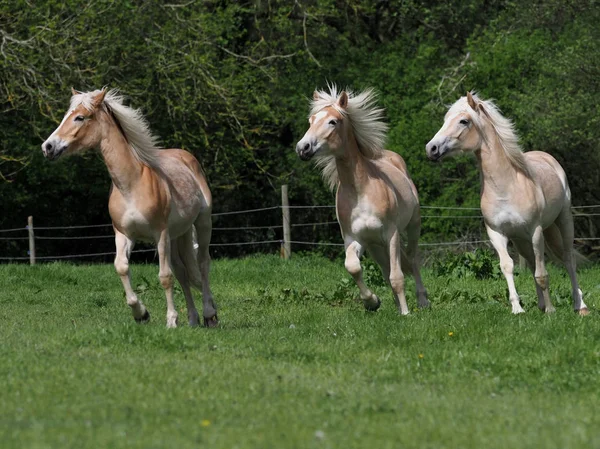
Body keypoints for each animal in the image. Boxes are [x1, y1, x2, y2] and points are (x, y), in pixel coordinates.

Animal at [41, 88, 218, 326]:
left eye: (80, 117)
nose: (48, 147)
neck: (131, 184)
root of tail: (187, 158)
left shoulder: (160, 234)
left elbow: (165, 277)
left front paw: (171, 320)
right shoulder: (124, 234)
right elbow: (122, 267)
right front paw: (141, 313)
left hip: (202, 222)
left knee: (202, 263)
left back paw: (209, 314)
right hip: (177, 234)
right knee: (182, 271)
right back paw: (192, 320)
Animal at [294, 85, 426, 316]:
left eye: (332, 121)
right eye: (311, 120)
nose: (303, 148)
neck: (361, 192)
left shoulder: (391, 235)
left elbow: (397, 276)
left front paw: (406, 313)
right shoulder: (354, 238)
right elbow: (353, 267)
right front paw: (372, 301)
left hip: (411, 227)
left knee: (412, 259)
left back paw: (421, 301)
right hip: (375, 246)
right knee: (386, 269)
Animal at [426, 91, 592, 316]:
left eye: (464, 121)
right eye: (445, 120)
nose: (431, 148)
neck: (506, 187)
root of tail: (547, 157)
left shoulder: (536, 232)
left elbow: (542, 273)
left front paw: (551, 310)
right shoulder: (497, 233)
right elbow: (508, 266)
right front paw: (517, 308)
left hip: (563, 220)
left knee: (568, 259)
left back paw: (579, 305)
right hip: (521, 239)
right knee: (531, 263)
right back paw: (541, 305)